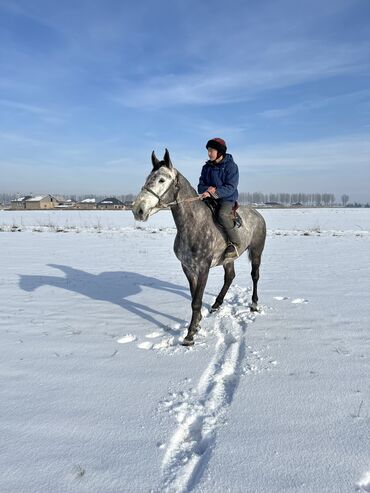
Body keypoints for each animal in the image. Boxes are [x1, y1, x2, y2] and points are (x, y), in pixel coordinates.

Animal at [132, 148, 264, 344]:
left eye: (162, 179)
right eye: (148, 177)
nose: (137, 209)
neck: (193, 225)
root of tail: (258, 214)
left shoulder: (203, 269)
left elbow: (196, 301)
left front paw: (190, 335)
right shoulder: (188, 267)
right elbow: (194, 296)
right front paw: (197, 323)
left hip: (256, 252)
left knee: (255, 276)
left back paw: (254, 304)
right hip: (228, 259)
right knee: (229, 277)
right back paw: (217, 304)